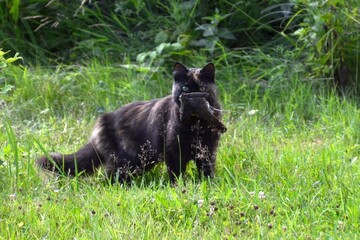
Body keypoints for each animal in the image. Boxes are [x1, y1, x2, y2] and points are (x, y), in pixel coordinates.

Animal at [38, 62, 225, 183]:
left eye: (202, 89)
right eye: (185, 88)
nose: (193, 99)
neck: (196, 124)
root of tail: (103, 121)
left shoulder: (208, 150)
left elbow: (207, 170)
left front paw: (208, 184)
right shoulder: (173, 151)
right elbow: (176, 174)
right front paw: (179, 187)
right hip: (129, 162)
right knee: (108, 179)